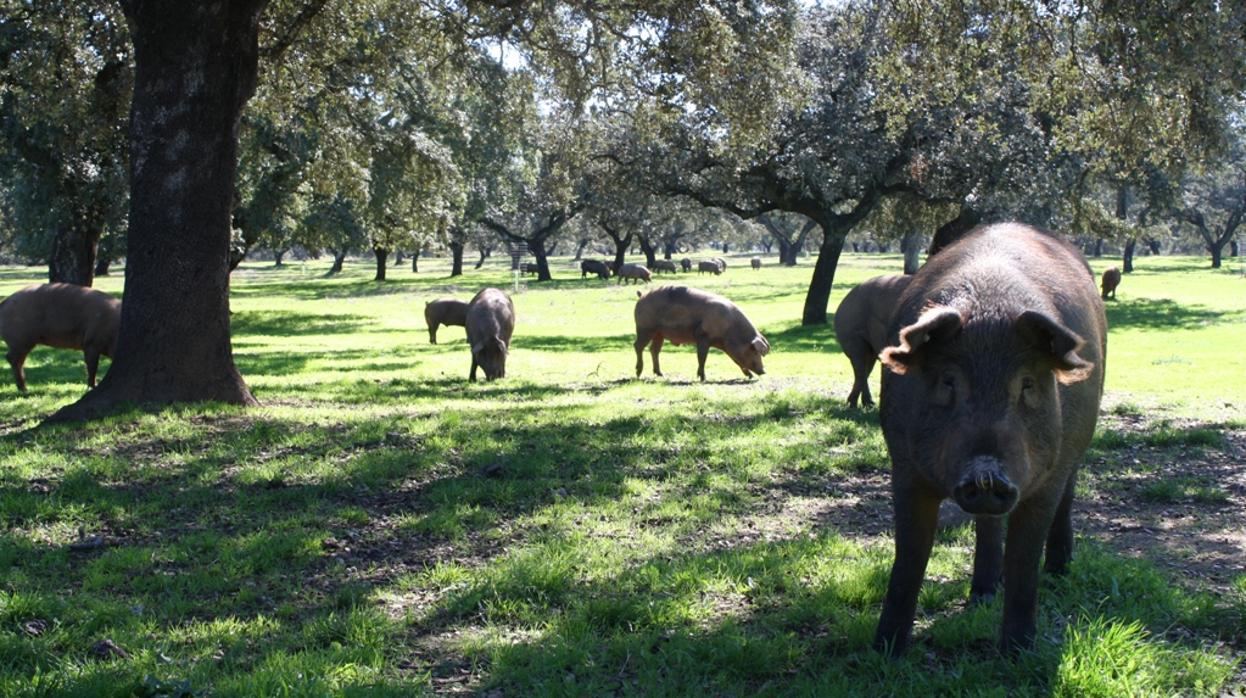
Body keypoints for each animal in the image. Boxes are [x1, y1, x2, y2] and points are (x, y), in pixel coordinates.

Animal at [632, 285, 767, 378]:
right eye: (754, 351)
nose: (764, 371)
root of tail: (641, 296)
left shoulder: (729, 349)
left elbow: (736, 361)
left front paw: (749, 376)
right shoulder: (703, 336)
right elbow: (702, 357)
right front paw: (702, 378)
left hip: (659, 333)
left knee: (654, 350)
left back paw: (660, 374)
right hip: (645, 328)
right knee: (638, 346)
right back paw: (638, 373)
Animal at [872, 221, 1106, 653]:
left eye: (1027, 384)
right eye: (949, 381)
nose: (987, 475)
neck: (989, 308)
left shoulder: (1045, 477)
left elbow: (1023, 559)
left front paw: (1017, 653)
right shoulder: (904, 465)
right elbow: (910, 556)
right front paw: (886, 651)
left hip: (1076, 444)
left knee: (1068, 494)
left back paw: (1059, 571)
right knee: (987, 525)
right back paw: (982, 593)